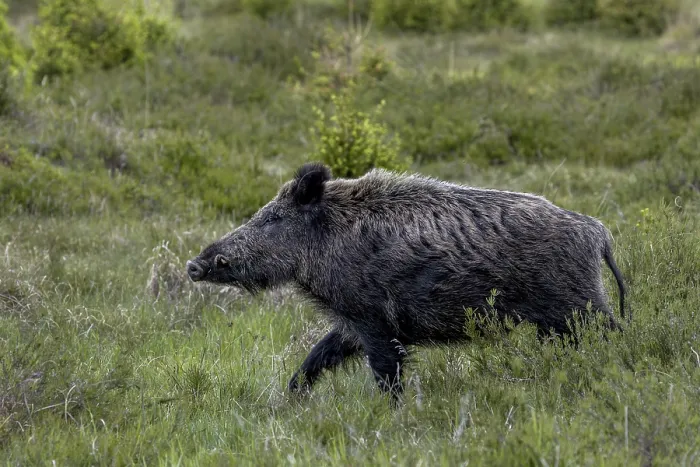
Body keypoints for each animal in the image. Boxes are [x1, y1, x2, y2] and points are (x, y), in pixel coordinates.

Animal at [186, 162, 627, 402]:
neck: (328, 237)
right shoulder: (351, 322)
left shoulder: (373, 319)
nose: (194, 265)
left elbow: (385, 373)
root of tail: (597, 233)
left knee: (617, 334)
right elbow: (316, 357)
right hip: (559, 321)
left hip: (579, 306)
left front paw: (392, 416)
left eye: (274, 218)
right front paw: (290, 400)